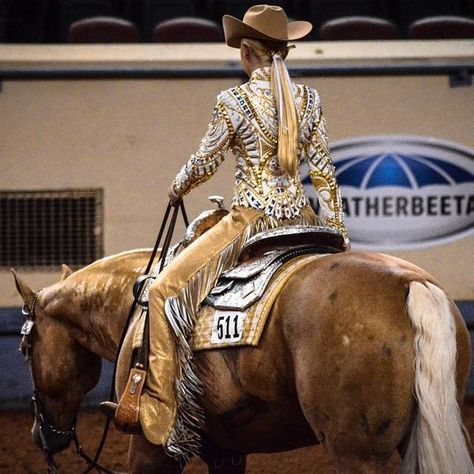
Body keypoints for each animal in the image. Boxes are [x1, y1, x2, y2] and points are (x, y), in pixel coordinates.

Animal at [12, 244, 474, 474]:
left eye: (26, 348)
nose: (41, 436)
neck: (136, 307)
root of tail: (412, 285)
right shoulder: (226, 454)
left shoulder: (149, 451)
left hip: (358, 455)